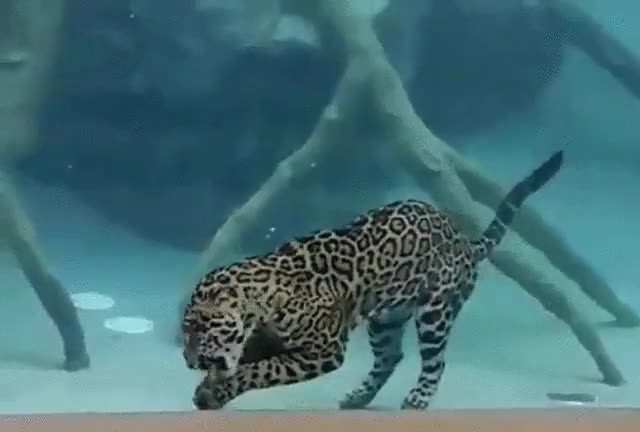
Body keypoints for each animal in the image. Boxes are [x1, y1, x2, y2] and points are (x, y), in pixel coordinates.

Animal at [181, 150, 564, 410]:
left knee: (435, 360)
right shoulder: (265, 342)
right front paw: (210, 388)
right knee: (391, 356)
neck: (263, 300)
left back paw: (418, 398)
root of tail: (463, 240)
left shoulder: (323, 351)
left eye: (198, 329)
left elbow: (263, 370)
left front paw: (218, 386)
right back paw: (358, 396)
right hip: (386, 318)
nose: (187, 360)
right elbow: (244, 363)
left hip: (435, 312)